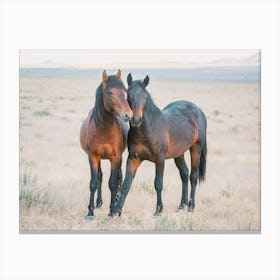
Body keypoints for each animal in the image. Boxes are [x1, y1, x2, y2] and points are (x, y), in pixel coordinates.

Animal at [80, 70, 133, 219]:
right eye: (110, 92)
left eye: (125, 91)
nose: (128, 114)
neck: (104, 129)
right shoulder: (93, 157)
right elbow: (93, 182)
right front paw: (90, 212)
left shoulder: (115, 157)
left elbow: (113, 183)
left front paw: (111, 210)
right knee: (99, 177)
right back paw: (98, 203)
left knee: (118, 178)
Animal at [112, 72, 207, 217]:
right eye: (128, 95)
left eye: (145, 96)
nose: (136, 120)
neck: (148, 130)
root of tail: (198, 111)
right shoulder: (133, 159)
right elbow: (126, 184)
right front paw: (116, 212)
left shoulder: (160, 159)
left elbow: (158, 183)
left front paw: (158, 210)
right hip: (179, 153)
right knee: (184, 174)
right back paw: (182, 205)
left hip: (196, 149)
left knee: (193, 176)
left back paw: (191, 207)